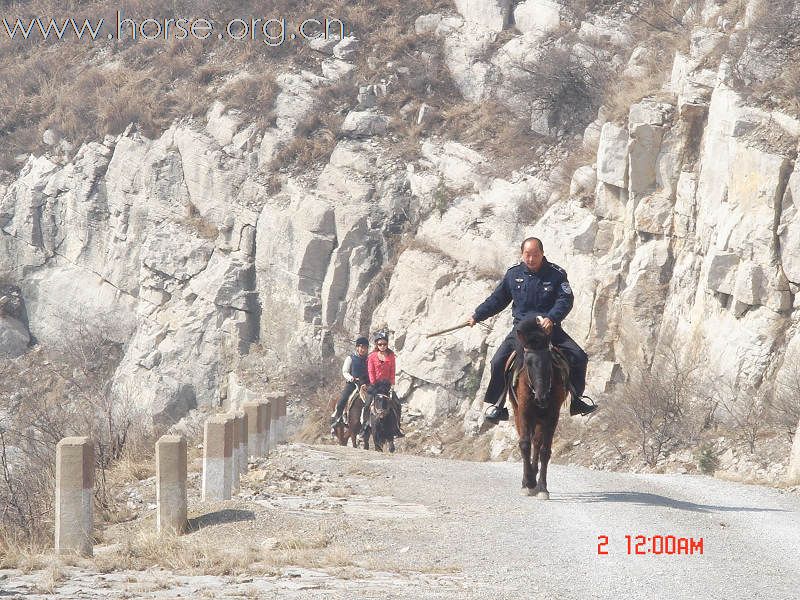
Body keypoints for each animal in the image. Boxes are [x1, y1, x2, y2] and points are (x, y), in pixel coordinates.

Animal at [510, 316, 564, 500]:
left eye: (549, 361)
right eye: (527, 362)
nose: (542, 398)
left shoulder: (552, 416)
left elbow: (545, 451)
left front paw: (542, 488)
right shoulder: (524, 412)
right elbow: (524, 444)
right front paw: (528, 482)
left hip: (541, 418)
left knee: (537, 443)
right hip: (520, 413)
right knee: (529, 441)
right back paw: (527, 481)